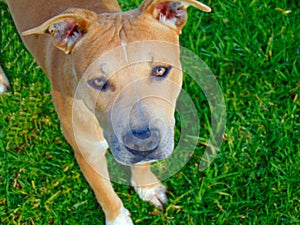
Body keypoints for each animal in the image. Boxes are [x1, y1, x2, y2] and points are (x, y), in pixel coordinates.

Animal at [1, 0, 211, 224]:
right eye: (99, 82)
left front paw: (148, 187)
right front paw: (118, 218)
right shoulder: (88, 153)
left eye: (161, 70)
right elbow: (105, 193)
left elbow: (141, 165)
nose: (143, 144)